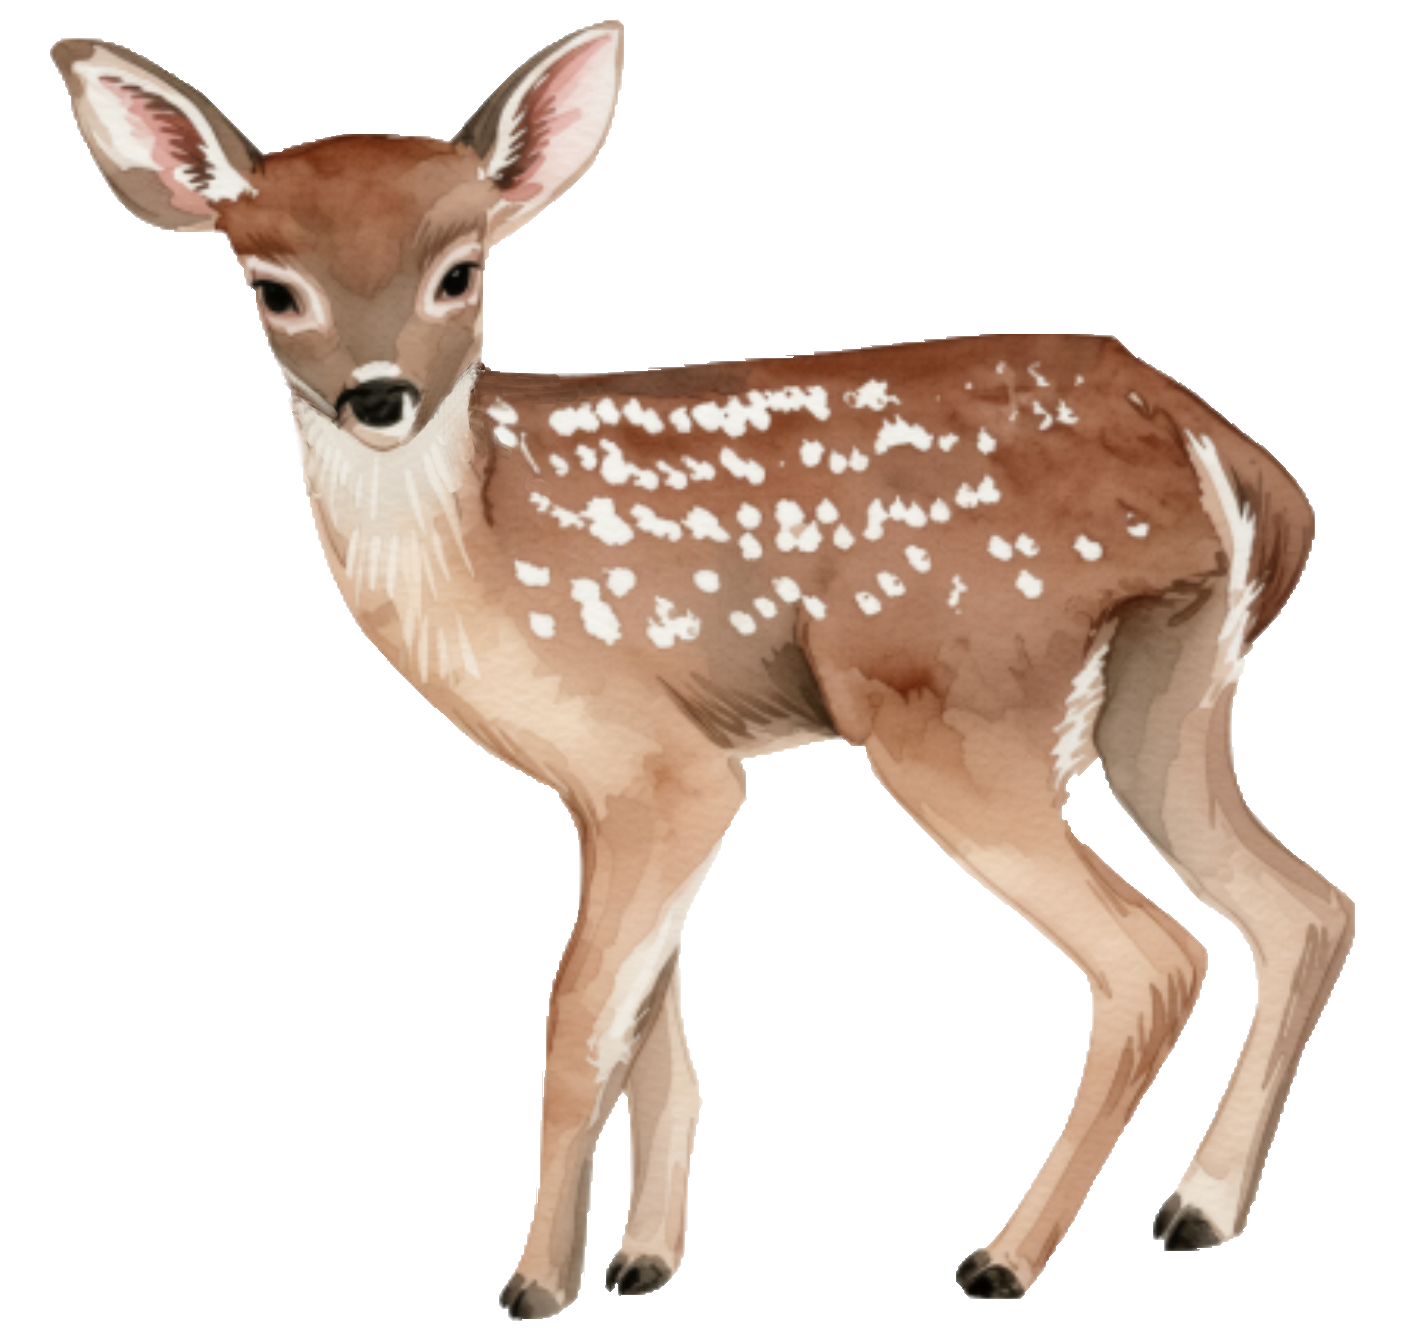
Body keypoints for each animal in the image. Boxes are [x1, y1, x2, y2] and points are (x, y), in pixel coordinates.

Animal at [52, 21, 1354, 1315]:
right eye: (271, 286)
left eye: (459, 271)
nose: (378, 395)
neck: (480, 554)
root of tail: (1217, 446)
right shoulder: (617, 779)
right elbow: (653, 1028)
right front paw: (643, 1258)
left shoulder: (658, 763)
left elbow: (581, 1018)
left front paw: (538, 1281)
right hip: (1168, 693)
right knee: (1301, 907)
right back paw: (1197, 1208)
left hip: (960, 702)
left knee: (1154, 957)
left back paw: (1004, 1255)